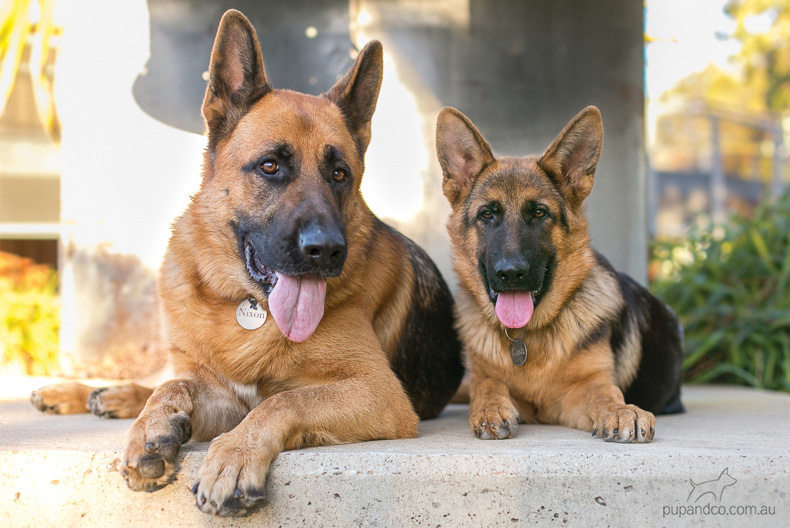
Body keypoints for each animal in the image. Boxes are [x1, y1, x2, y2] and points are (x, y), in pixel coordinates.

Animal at [35, 11, 464, 516]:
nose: (326, 250)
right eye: (270, 167)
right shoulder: (219, 389)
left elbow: (281, 403)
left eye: (340, 175)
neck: (248, 306)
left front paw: (234, 457)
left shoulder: (379, 392)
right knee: (159, 377)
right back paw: (91, 394)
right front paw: (151, 427)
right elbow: (175, 387)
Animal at [440, 105, 688, 444]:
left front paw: (622, 410)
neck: (526, 337)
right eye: (487, 214)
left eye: (539, 213)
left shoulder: (579, 394)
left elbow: (605, 393)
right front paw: (490, 408)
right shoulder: (485, 376)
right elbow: (487, 385)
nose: (511, 273)